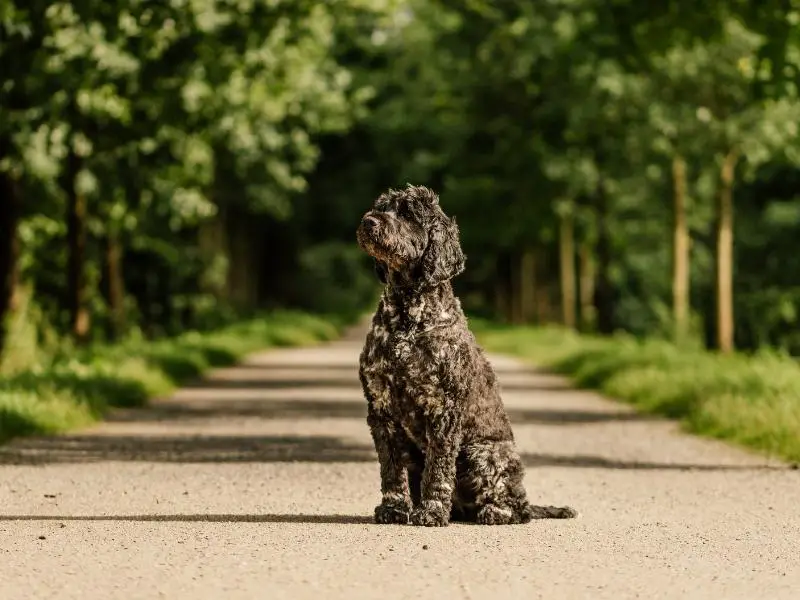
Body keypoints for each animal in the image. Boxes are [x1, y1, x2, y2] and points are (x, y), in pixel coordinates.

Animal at [356, 184, 576, 524]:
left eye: (408, 213)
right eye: (380, 207)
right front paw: (394, 508)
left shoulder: (444, 410)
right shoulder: (382, 409)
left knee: (517, 508)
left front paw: (431, 511)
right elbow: (391, 469)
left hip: (483, 452)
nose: (369, 222)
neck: (408, 318)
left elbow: (438, 469)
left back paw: (494, 512)